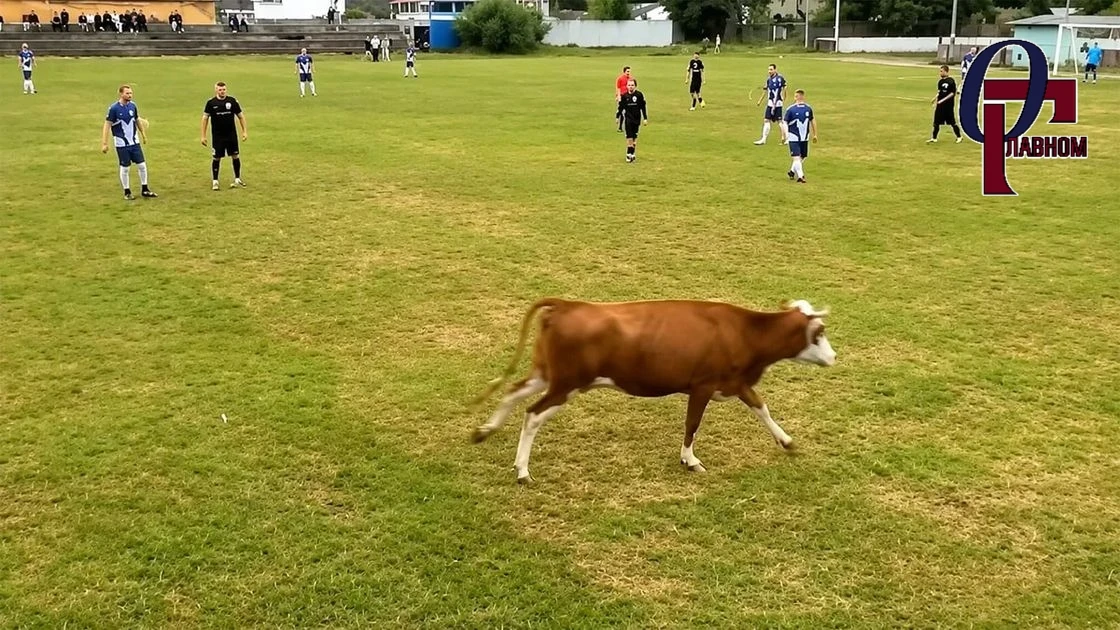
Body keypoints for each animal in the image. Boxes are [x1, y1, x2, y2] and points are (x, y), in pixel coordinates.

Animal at [470, 297, 837, 484]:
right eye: (819, 333)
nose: (834, 357)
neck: (742, 331)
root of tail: (566, 305)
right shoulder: (702, 386)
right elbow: (692, 425)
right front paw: (690, 460)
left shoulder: (736, 383)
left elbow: (762, 408)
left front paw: (786, 441)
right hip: (568, 384)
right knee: (533, 414)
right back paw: (522, 471)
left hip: (547, 373)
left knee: (513, 391)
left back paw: (484, 430)